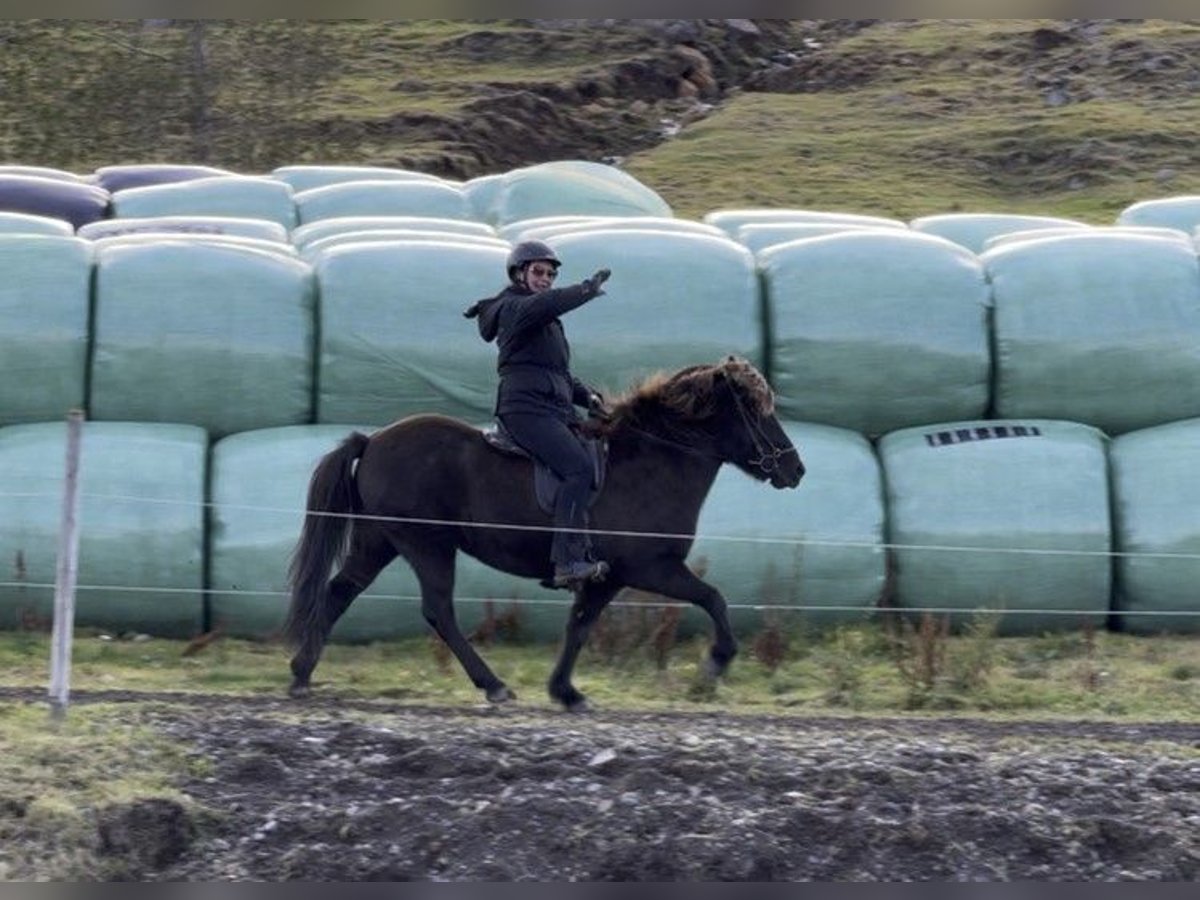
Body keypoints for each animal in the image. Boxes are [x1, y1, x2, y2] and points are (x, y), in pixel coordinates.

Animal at [283, 355, 806, 710]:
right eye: (756, 410)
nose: (795, 469)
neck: (652, 463)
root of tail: (373, 440)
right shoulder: (652, 568)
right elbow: (713, 599)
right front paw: (714, 664)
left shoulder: (606, 577)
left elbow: (579, 626)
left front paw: (566, 692)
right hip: (427, 545)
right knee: (438, 611)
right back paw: (494, 685)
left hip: (380, 542)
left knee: (340, 592)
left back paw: (301, 674)